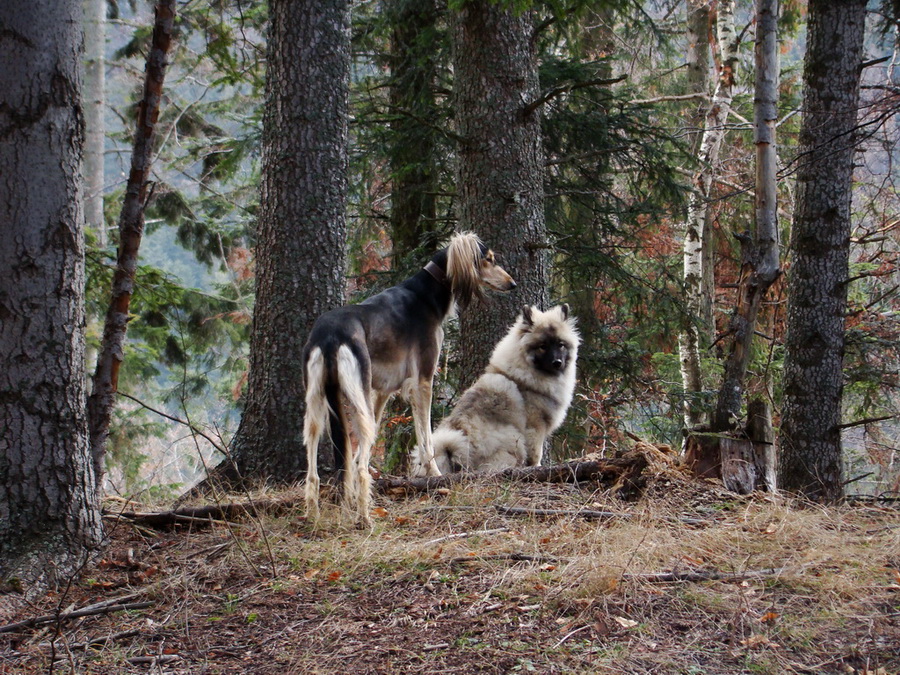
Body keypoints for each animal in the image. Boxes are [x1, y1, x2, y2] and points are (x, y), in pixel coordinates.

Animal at [302, 235, 512, 524]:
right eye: (489, 259)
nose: (512, 284)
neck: (425, 293)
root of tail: (331, 336)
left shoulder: (380, 391)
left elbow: (357, 454)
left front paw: (350, 497)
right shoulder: (422, 380)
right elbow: (426, 440)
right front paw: (436, 478)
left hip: (318, 401)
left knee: (313, 463)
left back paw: (314, 514)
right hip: (356, 397)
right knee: (362, 458)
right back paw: (365, 517)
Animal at [432, 304, 580, 472]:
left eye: (561, 344)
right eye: (543, 346)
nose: (557, 362)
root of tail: (454, 455)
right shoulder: (535, 425)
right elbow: (536, 453)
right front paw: (537, 467)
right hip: (515, 438)